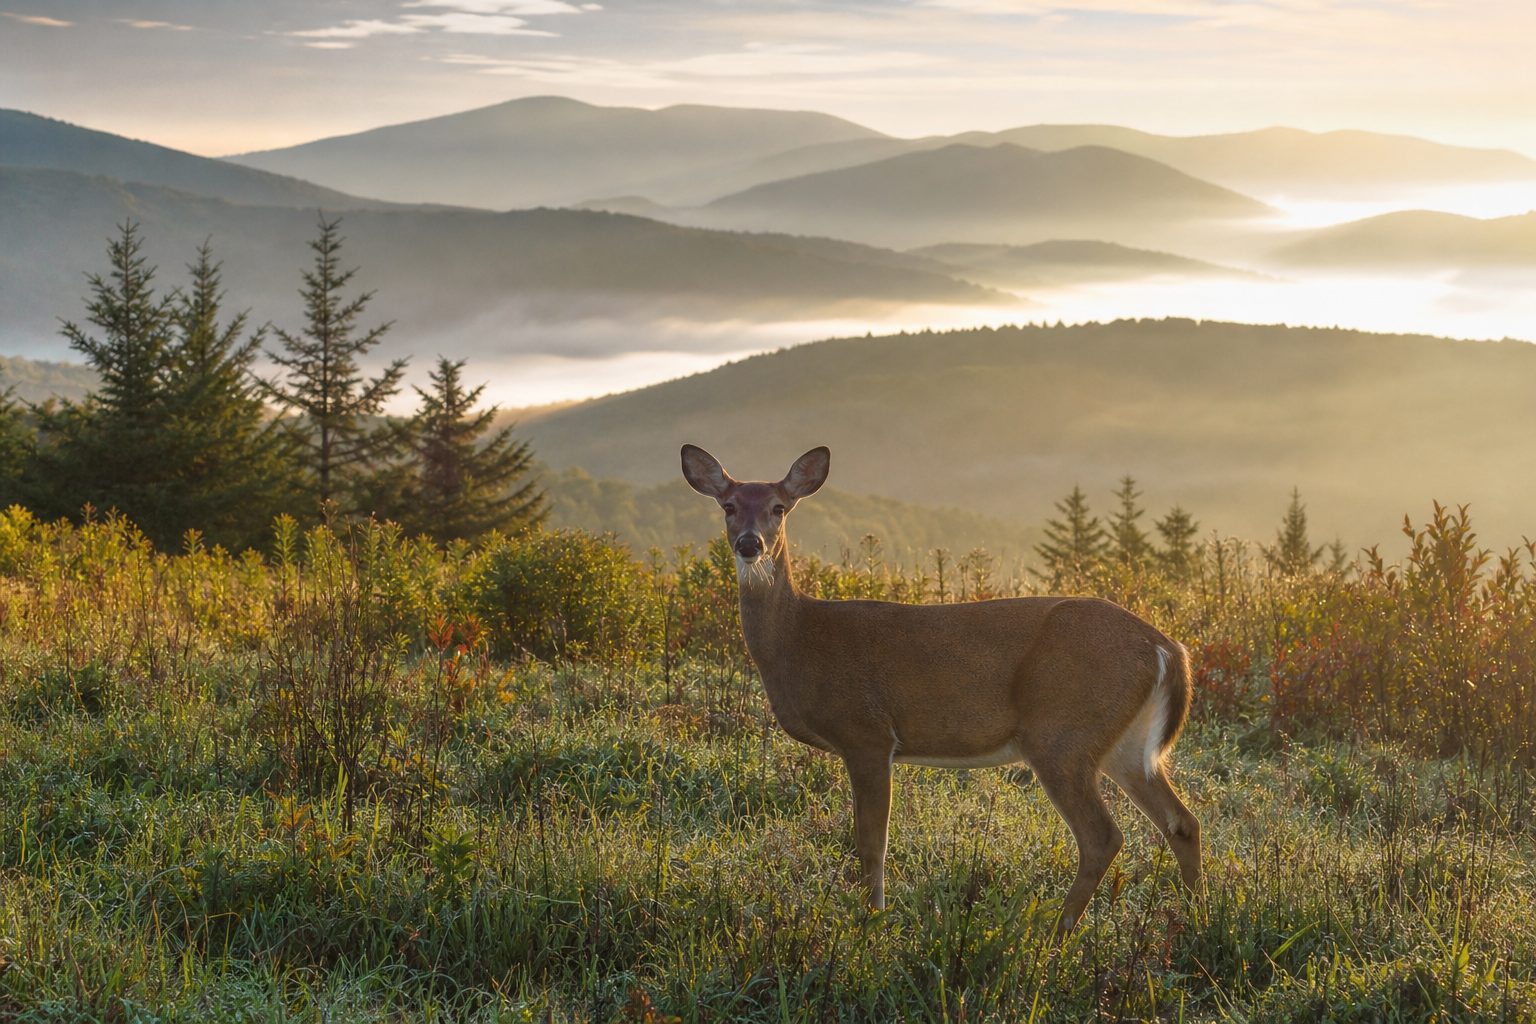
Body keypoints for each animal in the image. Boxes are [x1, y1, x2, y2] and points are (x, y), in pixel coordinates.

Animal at [681, 443, 1202, 936]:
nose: (750, 544)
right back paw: (1195, 918)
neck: (801, 639)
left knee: (1103, 836)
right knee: (1182, 821)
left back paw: (1054, 935)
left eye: (779, 507)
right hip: (1125, 745)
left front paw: (871, 921)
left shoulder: (867, 733)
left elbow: (871, 842)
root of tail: (1166, 646)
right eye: (728, 505)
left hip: (1062, 733)